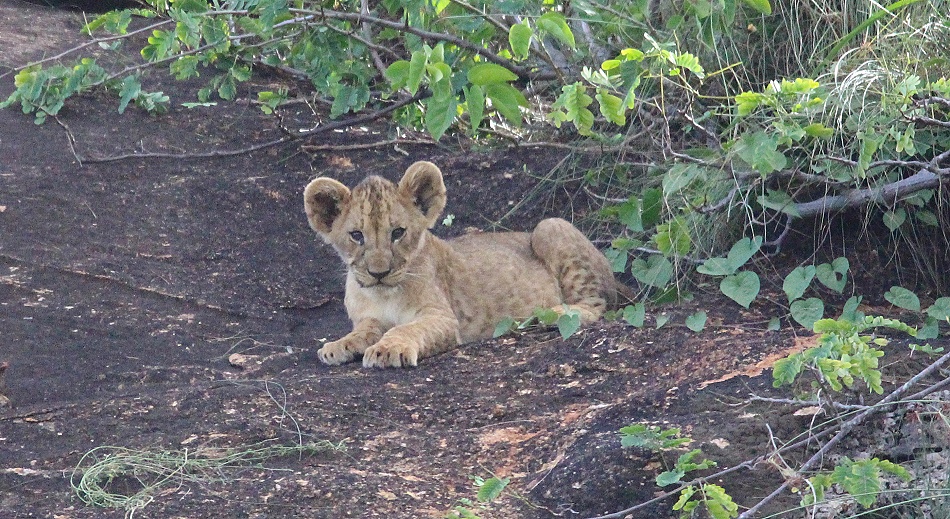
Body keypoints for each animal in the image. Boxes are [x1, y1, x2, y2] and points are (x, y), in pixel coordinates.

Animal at [304, 161, 627, 368]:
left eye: (397, 233)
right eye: (356, 235)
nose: (378, 273)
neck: (384, 294)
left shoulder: (443, 318)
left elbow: (406, 329)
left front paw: (387, 348)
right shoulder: (368, 318)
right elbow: (362, 332)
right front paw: (338, 346)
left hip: (550, 226)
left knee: (597, 305)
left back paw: (552, 314)